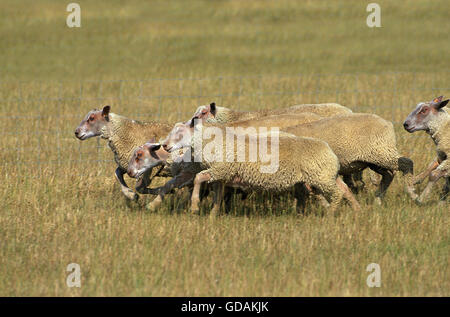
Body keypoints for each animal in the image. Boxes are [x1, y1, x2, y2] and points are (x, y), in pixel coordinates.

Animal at [163, 119, 362, 216]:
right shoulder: (221, 175)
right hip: (325, 175)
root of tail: (330, 151)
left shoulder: (221, 169)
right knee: (344, 188)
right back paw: (357, 211)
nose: (164, 146)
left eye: (179, 132)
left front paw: (194, 206)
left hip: (321, 177)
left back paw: (331, 214)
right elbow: (217, 197)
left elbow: (198, 178)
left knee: (337, 193)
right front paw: (213, 215)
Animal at [284, 113, 416, 202]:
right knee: (389, 174)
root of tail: (387, 123)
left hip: (381, 152)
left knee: (406, 163)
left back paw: (411, 192)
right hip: (374, 160)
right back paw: (378, 198)